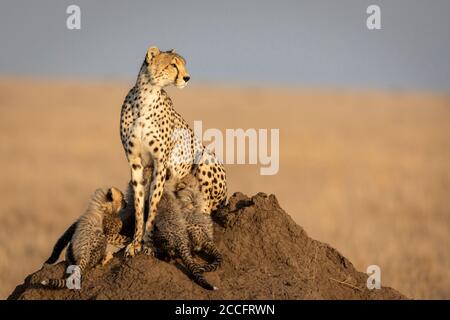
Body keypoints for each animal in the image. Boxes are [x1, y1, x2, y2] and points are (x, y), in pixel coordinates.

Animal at [119, 46, 227, 256]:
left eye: (183, 64)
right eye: (173, 65)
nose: (187, 77)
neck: (146, 95)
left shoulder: (161, 163)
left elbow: (153, 203)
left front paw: (148, 243)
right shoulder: (135, 162)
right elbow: (139, 205)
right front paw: (135, 243)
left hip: (205, 158)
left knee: (206, 208)